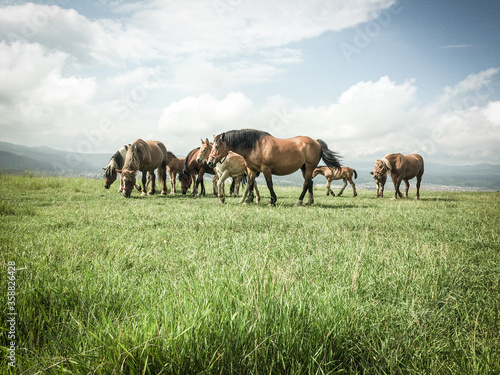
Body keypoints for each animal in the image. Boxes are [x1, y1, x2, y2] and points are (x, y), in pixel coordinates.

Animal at [206, 129, 340, 206]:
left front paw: (272, 201)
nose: (209, 162)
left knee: (306, 183)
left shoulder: (266, 169)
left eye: (216, 146)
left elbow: (269, 184)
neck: (255, 146)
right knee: (310, 183)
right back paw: (309, 201)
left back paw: (299, 201)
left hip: (309, 167)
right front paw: (248, 200)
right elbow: (251, 184)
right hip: (304, 168)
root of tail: (316, 142)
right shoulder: (252, 170)